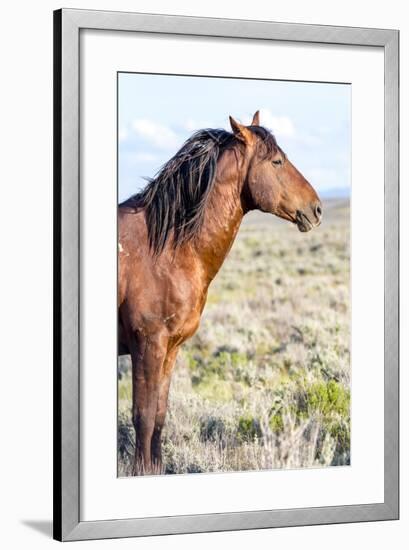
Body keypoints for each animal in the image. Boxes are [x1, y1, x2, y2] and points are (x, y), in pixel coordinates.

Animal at [117, 111, 322, 474]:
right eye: (277, 161)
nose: (316, 209)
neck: (165, 248)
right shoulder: (147, 346)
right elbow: (142, 418)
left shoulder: (169, 350)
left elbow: (158, 418)